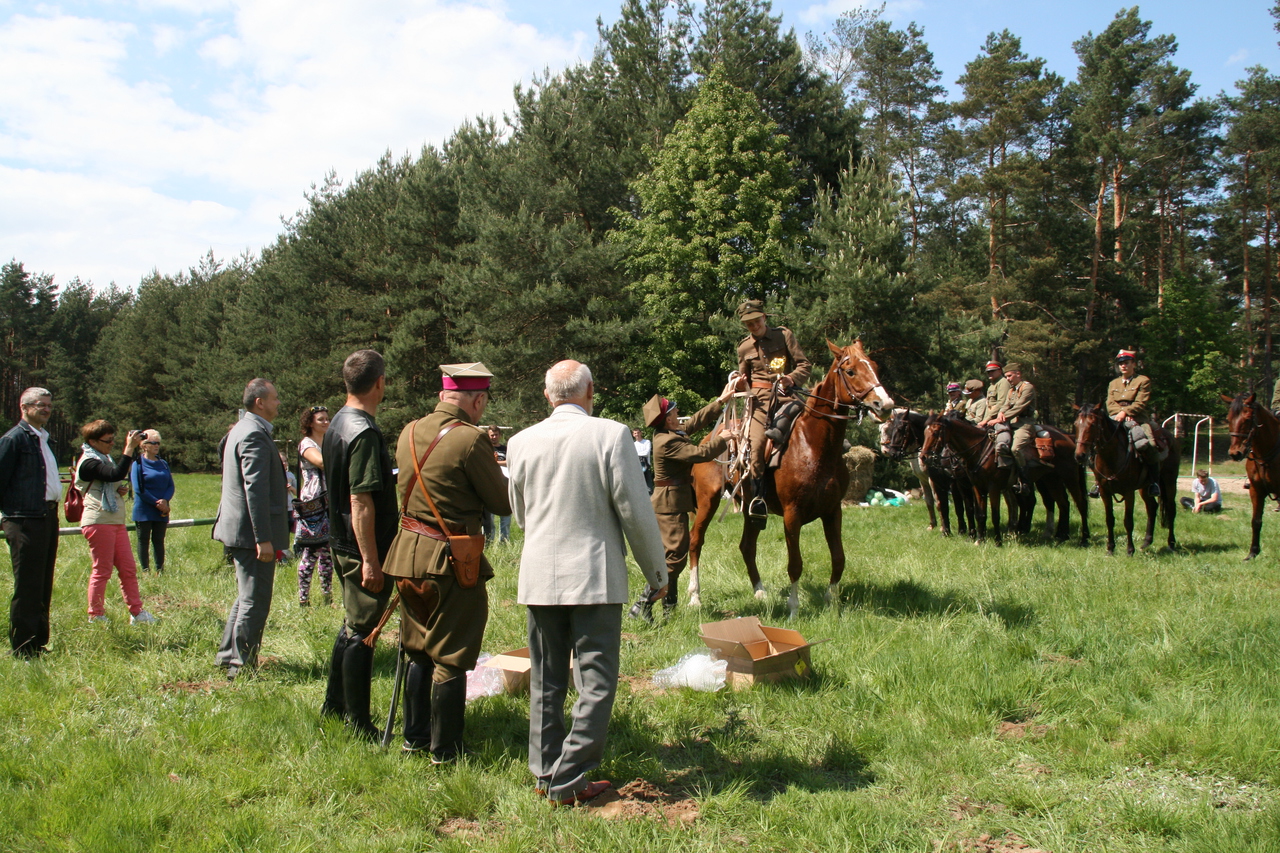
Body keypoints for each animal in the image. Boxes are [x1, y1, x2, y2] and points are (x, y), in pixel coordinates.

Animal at [691, 335, 890, 614]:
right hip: (707, 501)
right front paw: (794, 607)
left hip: (751, 511)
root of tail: (709, 438)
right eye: (850, 371)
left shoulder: (833, 511)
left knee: (747, 546)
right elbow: (795, 563)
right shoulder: (792, 514)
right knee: (696, 541)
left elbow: (838, 558)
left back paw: (760, 591)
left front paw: (831, 600)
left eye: (875, 367)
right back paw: (694, 596)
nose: (884, 405)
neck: (814, 444)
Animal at [1070, 404, 1177, 555]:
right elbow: (1109, 519)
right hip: (1145, 487)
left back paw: (1171, 544)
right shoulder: (1105, 492)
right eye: (1076, 424)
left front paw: (1130, 550)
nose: (1080, 455)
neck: (1111, 456)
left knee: (1171, 509)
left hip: (1170, 481)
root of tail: (1169, 436)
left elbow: (1128, 521)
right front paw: (1110, 548)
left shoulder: (1129, 492)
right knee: (1152, 507)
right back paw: (1146, 542)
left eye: (1093, 424)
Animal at [1218, 391, 1280, 558]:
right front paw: (1253, 552)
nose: (1235, 453)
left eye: (1247, 419)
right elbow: (1256, 521)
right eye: (1228, 419)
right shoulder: (1256, 490)